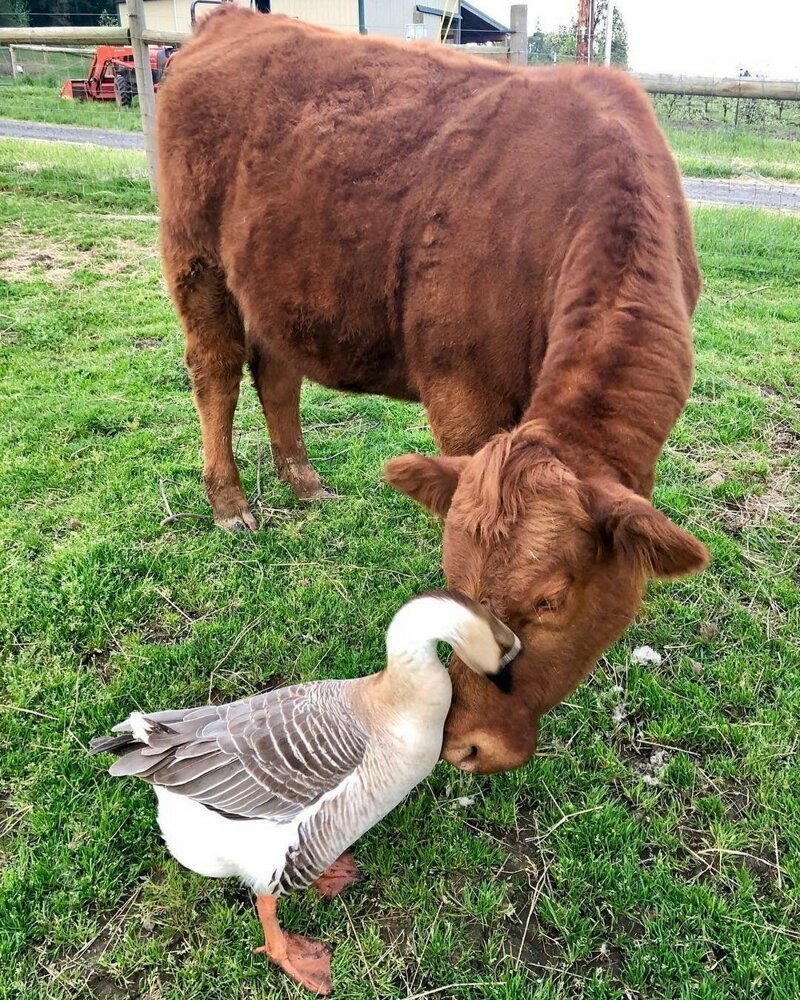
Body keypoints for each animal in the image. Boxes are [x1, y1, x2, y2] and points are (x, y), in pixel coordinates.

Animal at [159, 13, 708, 772]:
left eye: (549, 600)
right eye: (457, 582)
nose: (468, 744)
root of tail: (232, 19)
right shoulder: (461, 391)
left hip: (275, 287)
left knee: (276, 373)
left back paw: (304, 481)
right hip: (197, 259)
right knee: (214, 369)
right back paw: (230, 502)